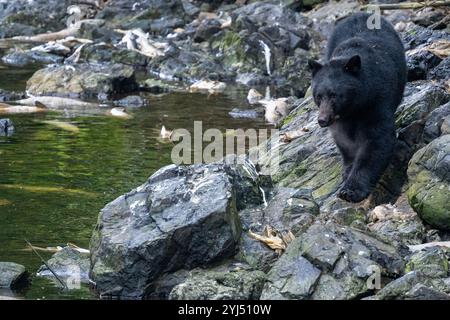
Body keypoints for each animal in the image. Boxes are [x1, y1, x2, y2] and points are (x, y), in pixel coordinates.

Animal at [310, 13, 408, 202]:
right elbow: (345, 142)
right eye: (318, 96)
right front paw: (347, 172)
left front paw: (350, 190)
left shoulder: (377, 101)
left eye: (334, 95)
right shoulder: (340, 121)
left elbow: (377, 141)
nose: (322, 120)